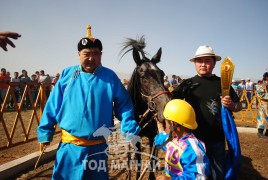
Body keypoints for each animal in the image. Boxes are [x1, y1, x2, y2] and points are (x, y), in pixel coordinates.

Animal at [120, 35, 172, 179]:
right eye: (143, 77)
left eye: (162, 74)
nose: (165, 108)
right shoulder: (135, 138)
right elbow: (138, 161)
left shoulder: (152, 136)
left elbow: (152, 159)